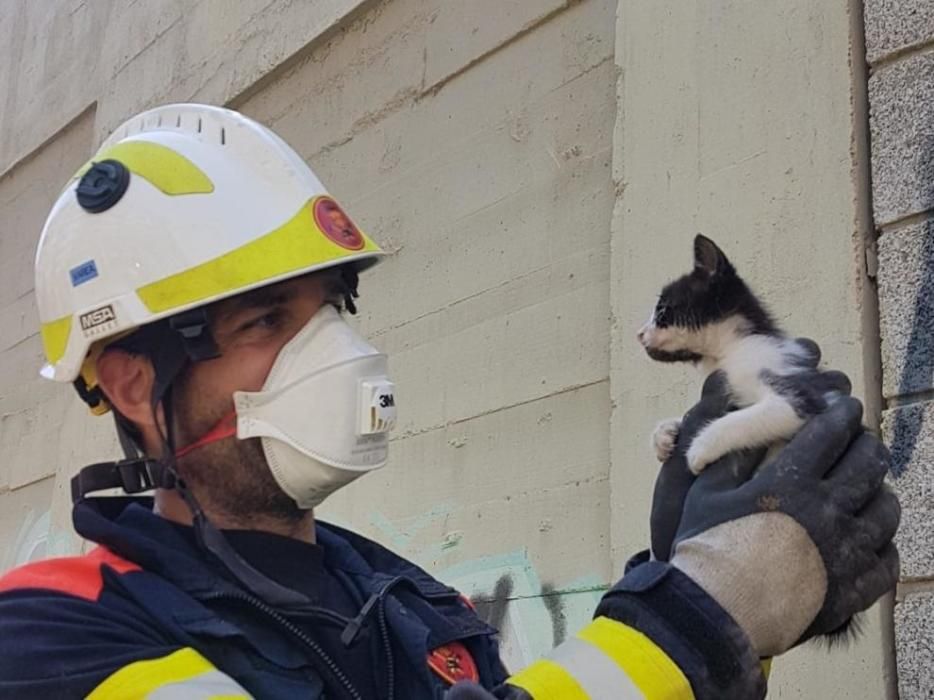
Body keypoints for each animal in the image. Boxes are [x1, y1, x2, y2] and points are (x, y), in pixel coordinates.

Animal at [640, 237, 836, 476]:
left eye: (662, 310)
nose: (639, 334)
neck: (730, 351)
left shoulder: (800, 397)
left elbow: (740, 419)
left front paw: (699, 448)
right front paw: (665, 433)